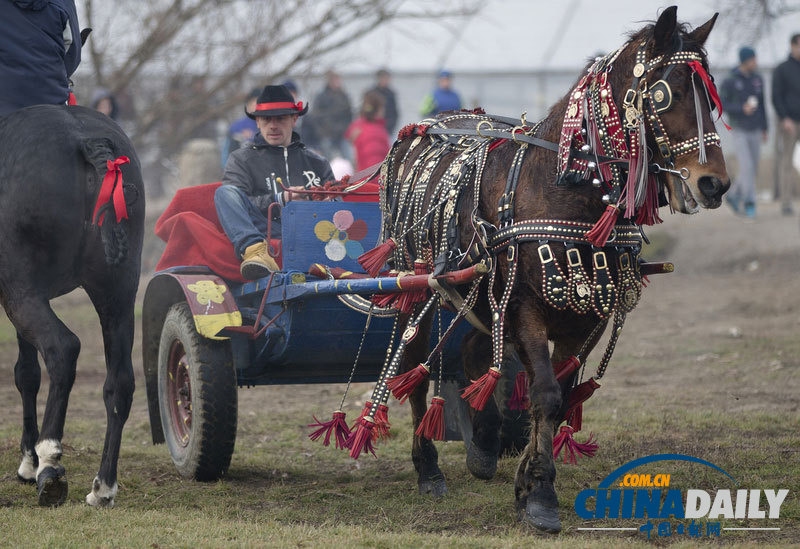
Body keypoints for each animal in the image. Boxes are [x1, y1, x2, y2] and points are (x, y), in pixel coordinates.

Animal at [0, 105, 144, 508]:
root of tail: (86, 141)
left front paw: (32, 460)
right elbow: (26, 372)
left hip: (19, 290)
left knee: (62, 349)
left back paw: (49, 462)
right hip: (118, 293)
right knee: (119, 382)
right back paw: (103, 486)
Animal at [362, 6, 732, 532]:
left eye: (710, 92)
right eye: (667, 92)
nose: (714, 184)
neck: (565, 189)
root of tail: (420, 130)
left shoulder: (587, 317)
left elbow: (557, 397)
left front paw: (528, 482)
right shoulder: (524, 308)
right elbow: (545, 394)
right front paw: (538, 494)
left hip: (481, 294)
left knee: (474, 351)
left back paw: (485, 446)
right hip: (416, 286)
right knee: (412, 362)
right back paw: (427, 467)